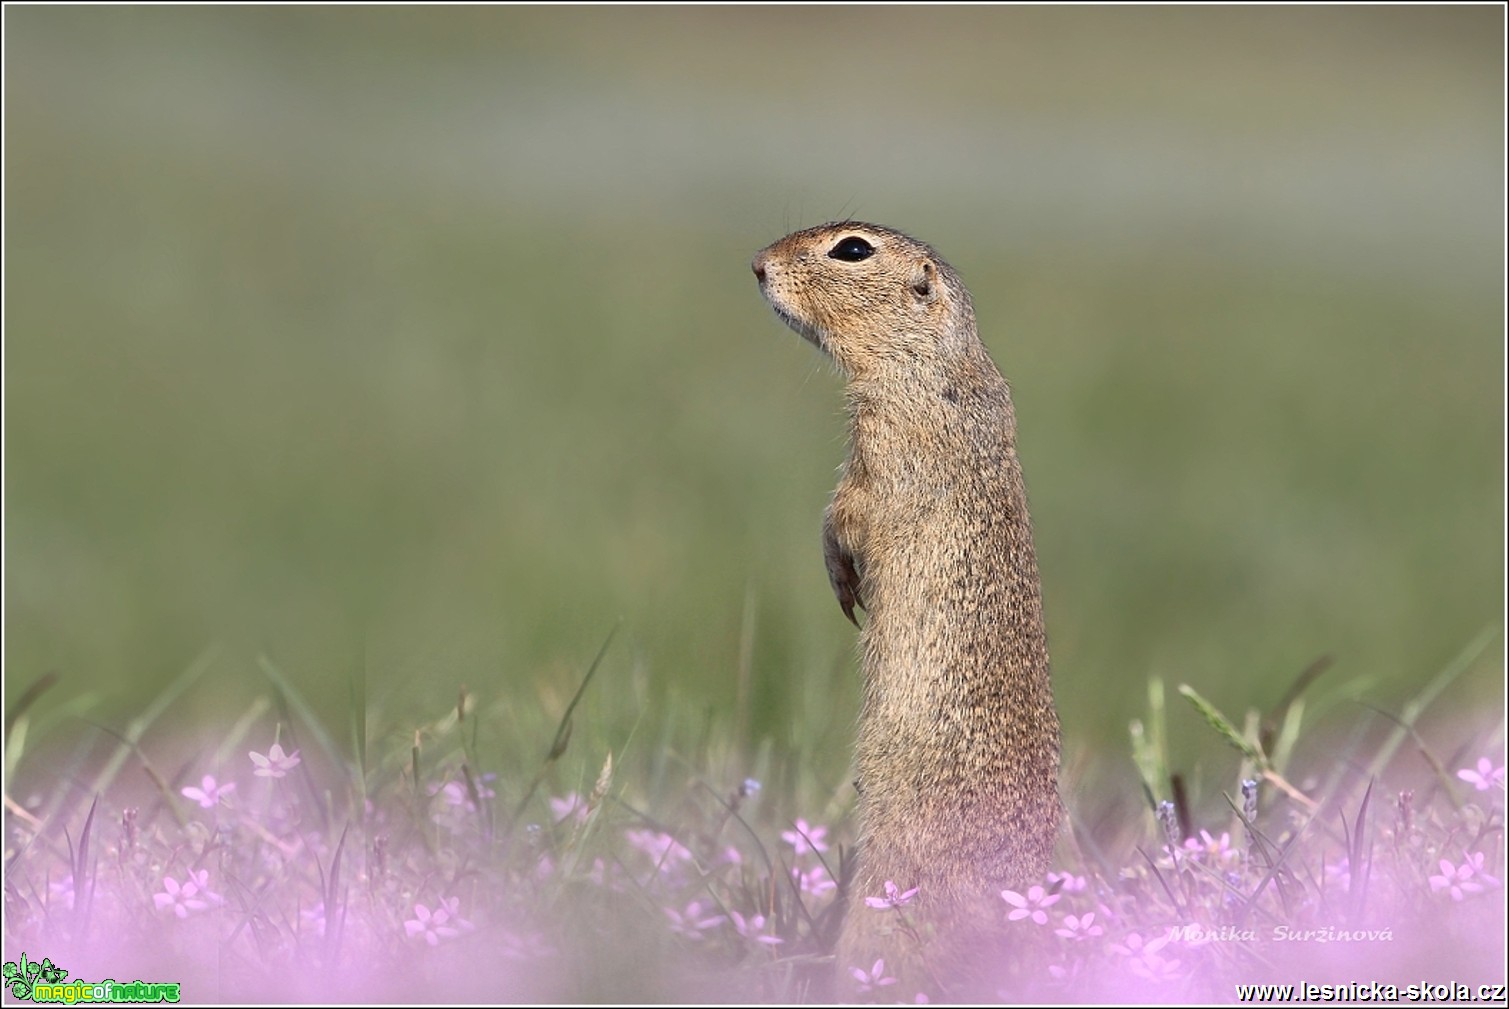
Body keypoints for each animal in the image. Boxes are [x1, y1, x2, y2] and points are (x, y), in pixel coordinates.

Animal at [751, 221, 1062, 1001]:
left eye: (852, 250)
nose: (756, 265)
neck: (935, 360)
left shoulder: (888, 445)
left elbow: (847, 511)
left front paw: (840, 578)